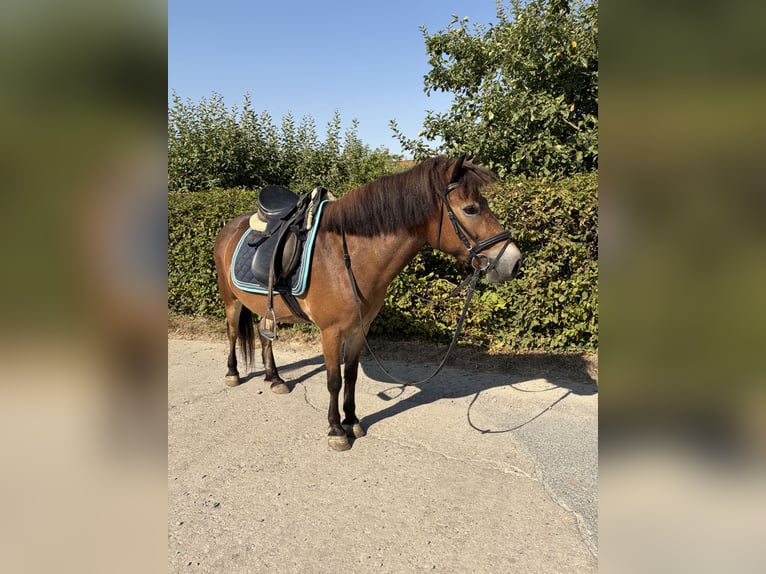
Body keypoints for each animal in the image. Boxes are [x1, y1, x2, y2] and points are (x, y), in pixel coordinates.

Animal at [213, 155, 522, 451]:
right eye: (471, 209)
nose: (514, 261)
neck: (346, 258)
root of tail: (229, 227)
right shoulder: (331, 332)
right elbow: (334, 380)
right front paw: (336, 430)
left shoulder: (360, 329)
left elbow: (350, 375)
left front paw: (351, 421)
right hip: (231, 300)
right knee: (232, 333)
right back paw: (233, 373)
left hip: (265, 305)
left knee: (264, 335)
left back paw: (275, 378)